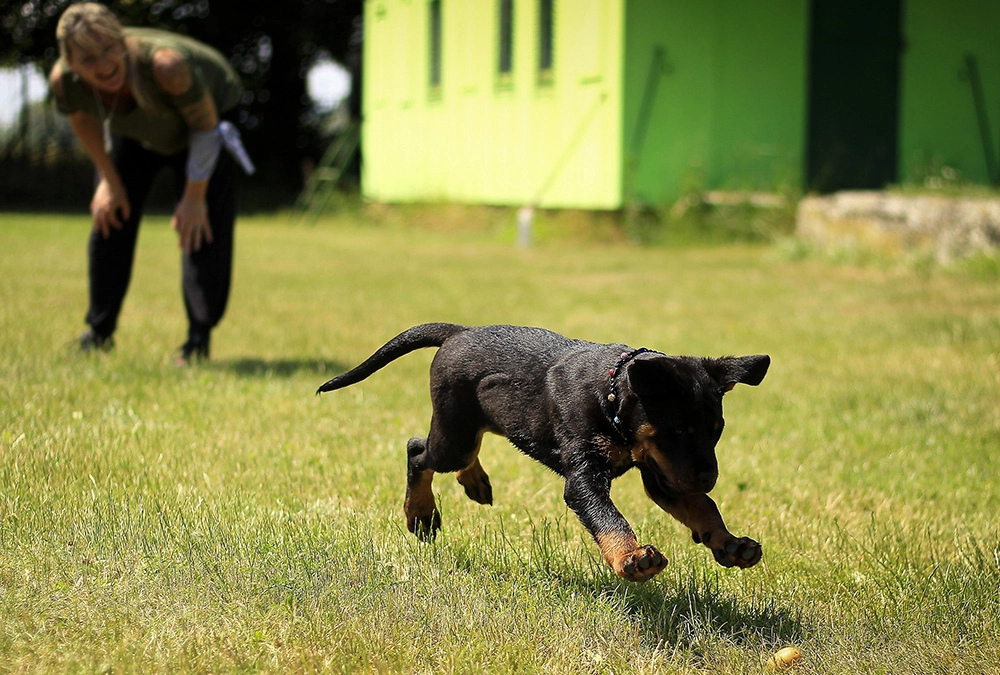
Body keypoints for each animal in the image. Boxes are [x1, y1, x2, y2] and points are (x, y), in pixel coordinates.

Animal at [316, 322, 768, 580]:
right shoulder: (586, 477)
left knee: (461, 450)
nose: (709, 476)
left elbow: (703, 507)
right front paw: (631, 558)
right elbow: (610, 518)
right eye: (676, 430)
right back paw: (421, 514)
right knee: (417, 451)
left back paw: (474, 482)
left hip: (476, 424)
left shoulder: (664, 474)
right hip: (454, 434)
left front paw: (730, 544)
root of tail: (458, 331)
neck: (611, 395)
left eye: (716, 431)